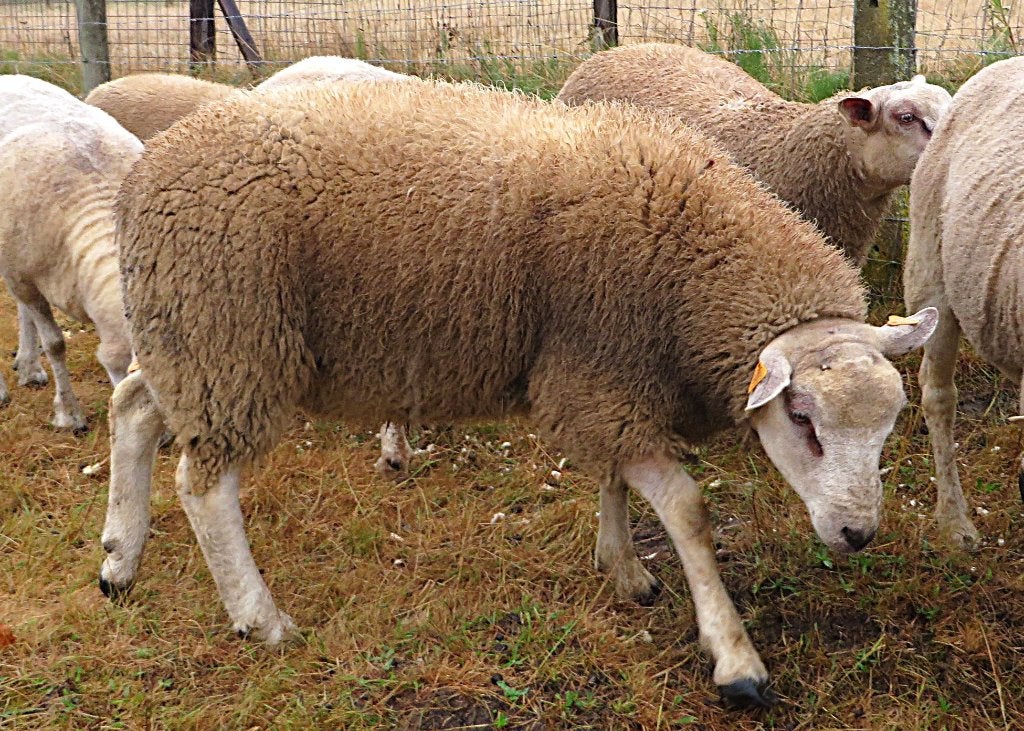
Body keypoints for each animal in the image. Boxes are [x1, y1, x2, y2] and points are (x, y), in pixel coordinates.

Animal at [98, 80, 936, 707]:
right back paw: (259, 616)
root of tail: (145, 172)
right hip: (229, 336)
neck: (693, 268)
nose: (859, 534)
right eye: (802, 418)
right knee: (203, 484)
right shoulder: (597, 372)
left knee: (132, 406)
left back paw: (119, 559)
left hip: (188, 337)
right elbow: (688, 512)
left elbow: (613, 477)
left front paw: (622, 568)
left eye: (890, 425)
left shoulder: (605, 377)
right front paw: (734, 658)